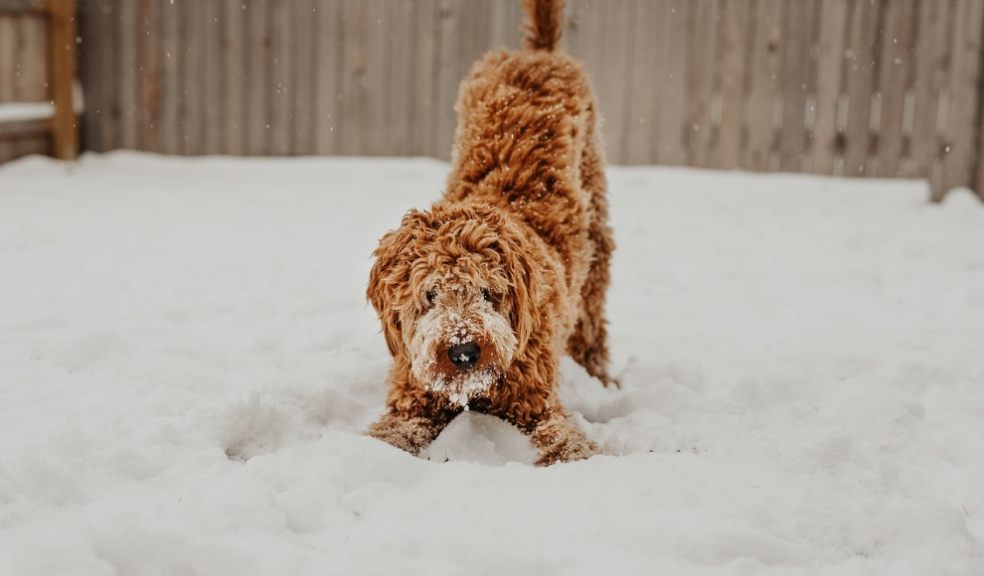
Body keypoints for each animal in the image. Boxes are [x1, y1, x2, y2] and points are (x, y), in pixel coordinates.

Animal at [368, 0, 616, 468]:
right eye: (429, 294)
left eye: (488, 291)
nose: (463, 351)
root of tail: (537, 53)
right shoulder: (413, 397)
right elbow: (388, 433)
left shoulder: (537, 402)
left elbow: (565, 440)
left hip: (597, 232)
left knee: (592, 318)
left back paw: (600, 377)